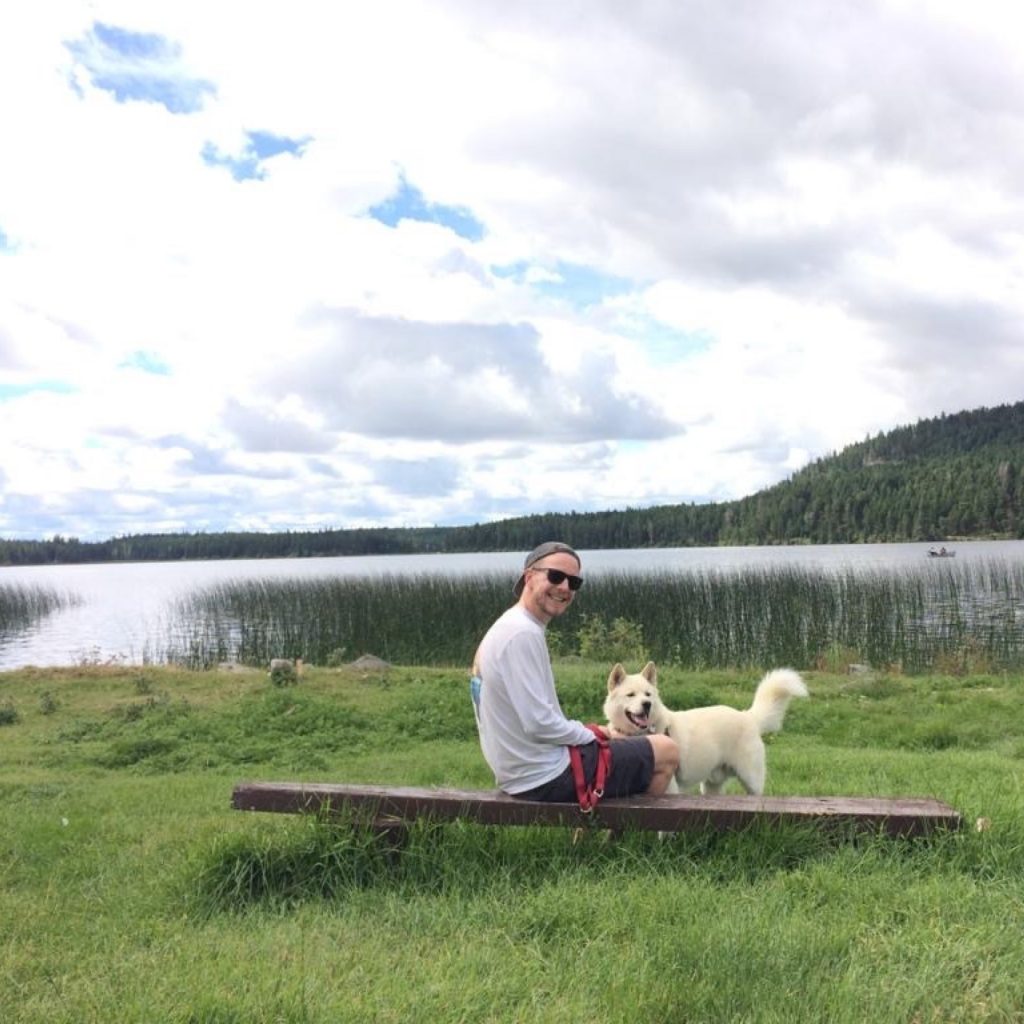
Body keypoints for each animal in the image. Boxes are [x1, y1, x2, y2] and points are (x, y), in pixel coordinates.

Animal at [598, 659, 806, 794]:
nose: (647, 705)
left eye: (648, 694)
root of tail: (748, 716)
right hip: (711, 786)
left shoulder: (669, 789)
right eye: (631, 695)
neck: (642, 734)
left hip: (752, 782)